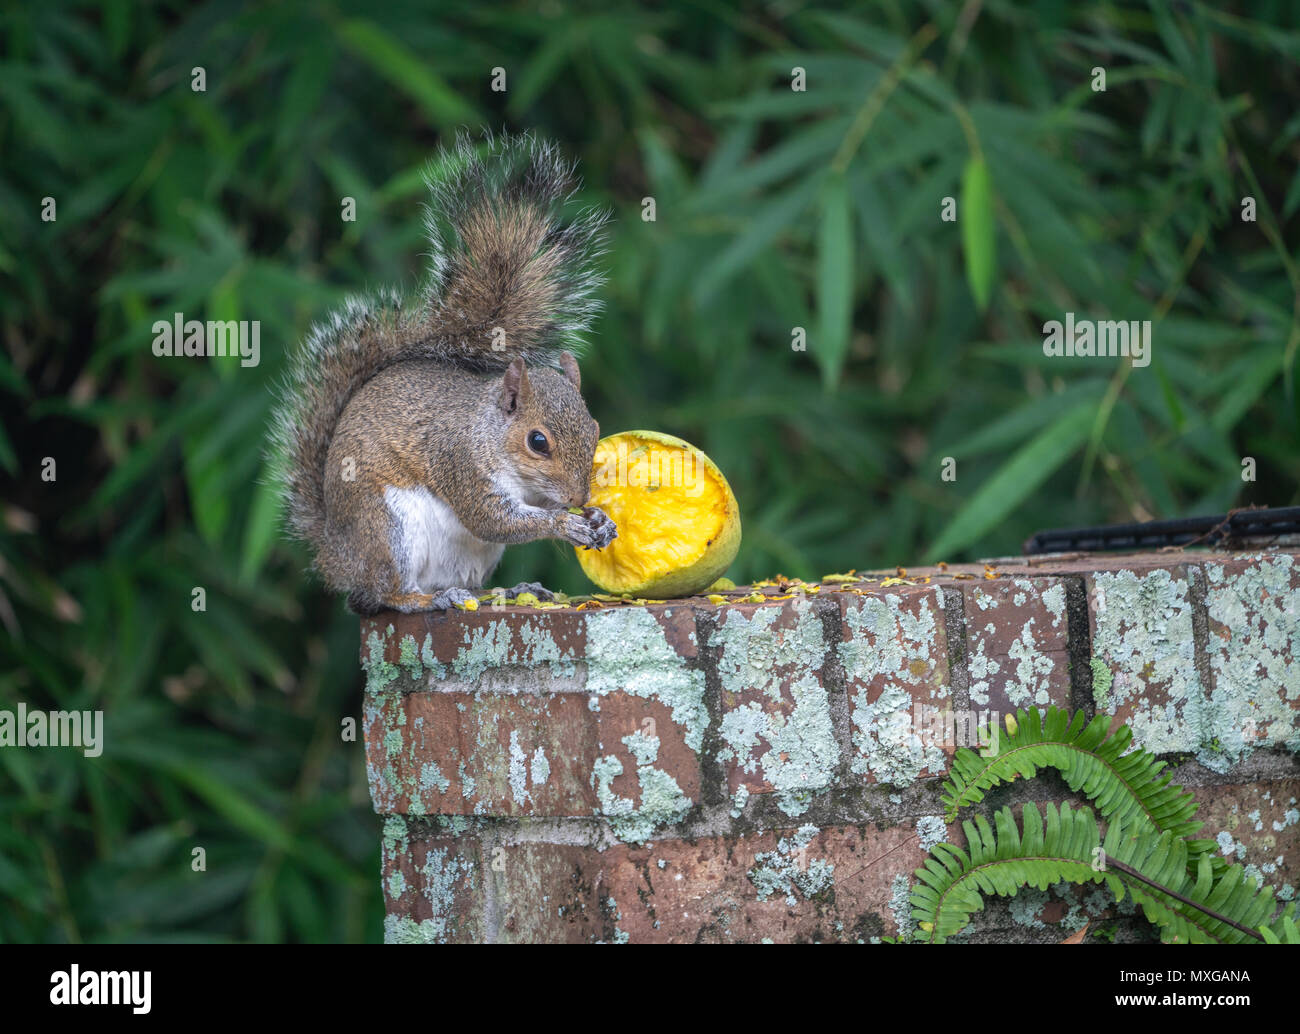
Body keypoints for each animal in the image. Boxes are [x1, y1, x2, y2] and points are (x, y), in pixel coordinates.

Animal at [266, 129, 616, 613]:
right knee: (387, 593)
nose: (579, 498)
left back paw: (508, 590)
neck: (489, 433)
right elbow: (494, 519)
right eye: (538, 442)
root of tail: (336, 556)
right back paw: (427, 600)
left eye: (594, 428)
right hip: (387, 528)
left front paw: (598, 519)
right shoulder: (460, 463)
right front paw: (566, 523)